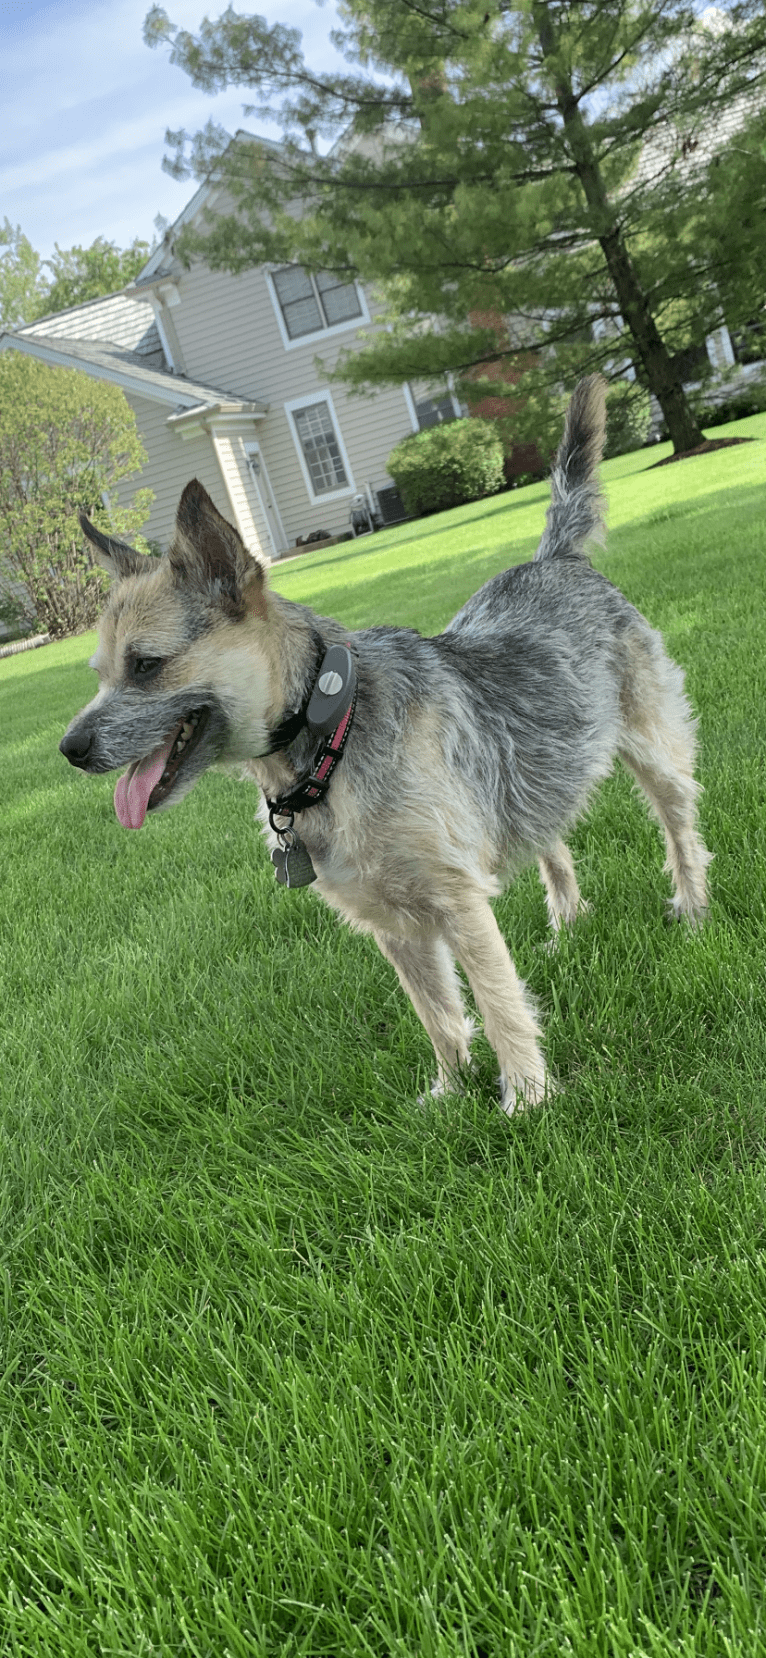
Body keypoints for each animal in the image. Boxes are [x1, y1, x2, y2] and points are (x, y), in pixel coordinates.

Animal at [61, 376, 712, 1114]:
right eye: (100, 674)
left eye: (145, 666)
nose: (69, 747)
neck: (329, 736)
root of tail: (556, 559)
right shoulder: (392, 923)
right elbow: (437, 1012)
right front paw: (450, 1093)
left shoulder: (457, 901)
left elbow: (497, 1001)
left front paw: (526, 1097)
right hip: (527, 776)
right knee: (551, 841)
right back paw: (568, 925)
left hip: (654, 749)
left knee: (680, 828)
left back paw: (692, 910)